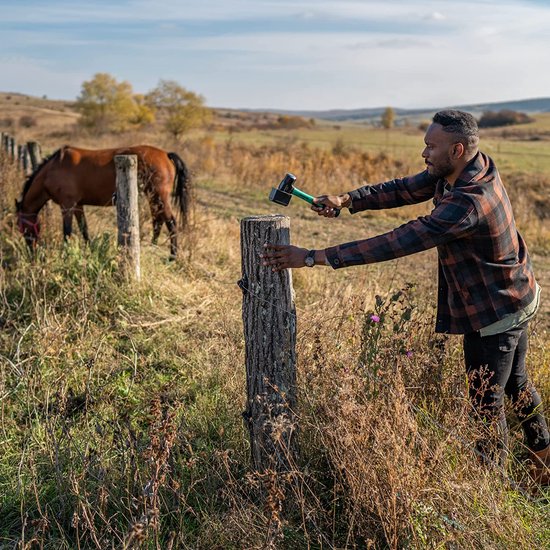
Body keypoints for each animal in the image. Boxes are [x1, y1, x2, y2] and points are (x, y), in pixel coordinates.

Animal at [15, 146, 192, 260]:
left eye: (22, 227)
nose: (31, 252)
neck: (54, 168)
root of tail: (166, 154)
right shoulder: (78, 206)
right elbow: (84, 229)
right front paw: (89, 250)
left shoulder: (67, 206)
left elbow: (67, 232)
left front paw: (65, 255)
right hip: (153, 197)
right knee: (158, 221)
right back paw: (153, 247)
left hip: (159, 197)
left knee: (170, 222)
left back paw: (172, 257)